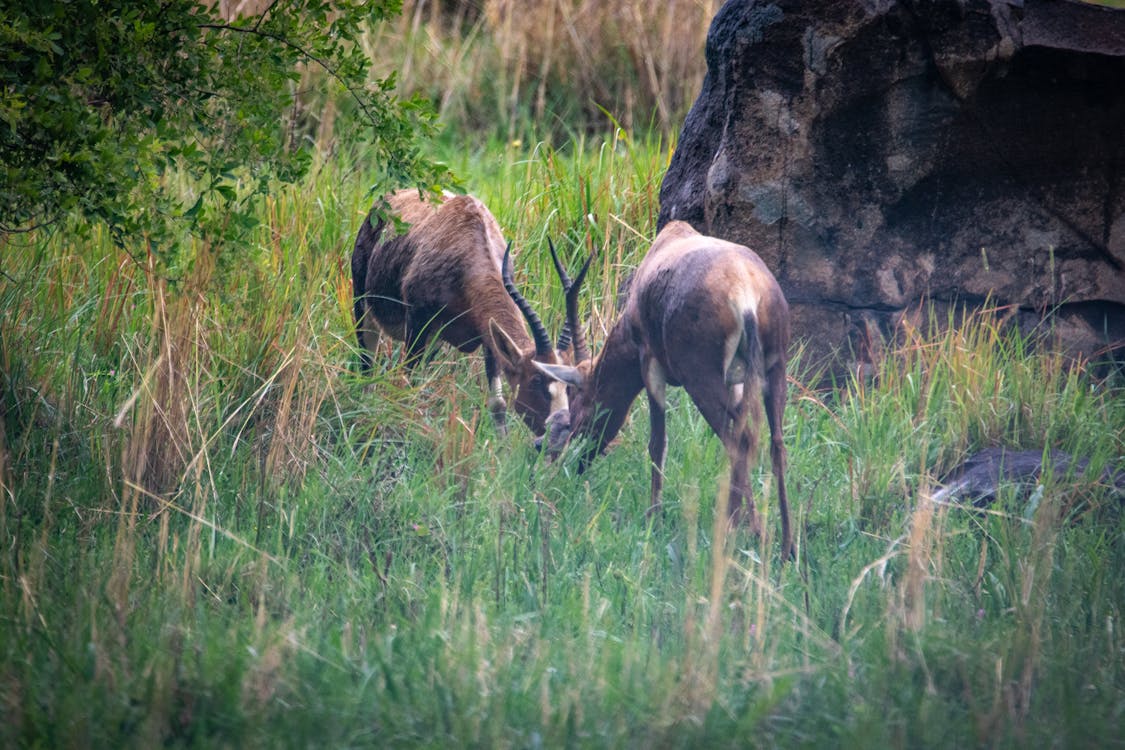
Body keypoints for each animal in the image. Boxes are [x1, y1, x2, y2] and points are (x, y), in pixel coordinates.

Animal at [351, 186, 571, 434]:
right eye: (535, 380)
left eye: (566, 383)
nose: (561, 426)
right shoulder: (417, 321)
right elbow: (409, 384)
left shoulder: (487, 337)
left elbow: (498, 403)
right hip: (363, 306)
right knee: (367, 364)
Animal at [533, 220, 792, 559]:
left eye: (580, 398)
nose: (578, 461)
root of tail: (745, 291)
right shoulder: (735, 383)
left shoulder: (650, 365)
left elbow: (657, 443)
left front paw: (653, 519)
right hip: (774, 372)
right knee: (774, 444)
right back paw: (785, 548)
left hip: (702, 379)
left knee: (739, 441)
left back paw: (732, 537)